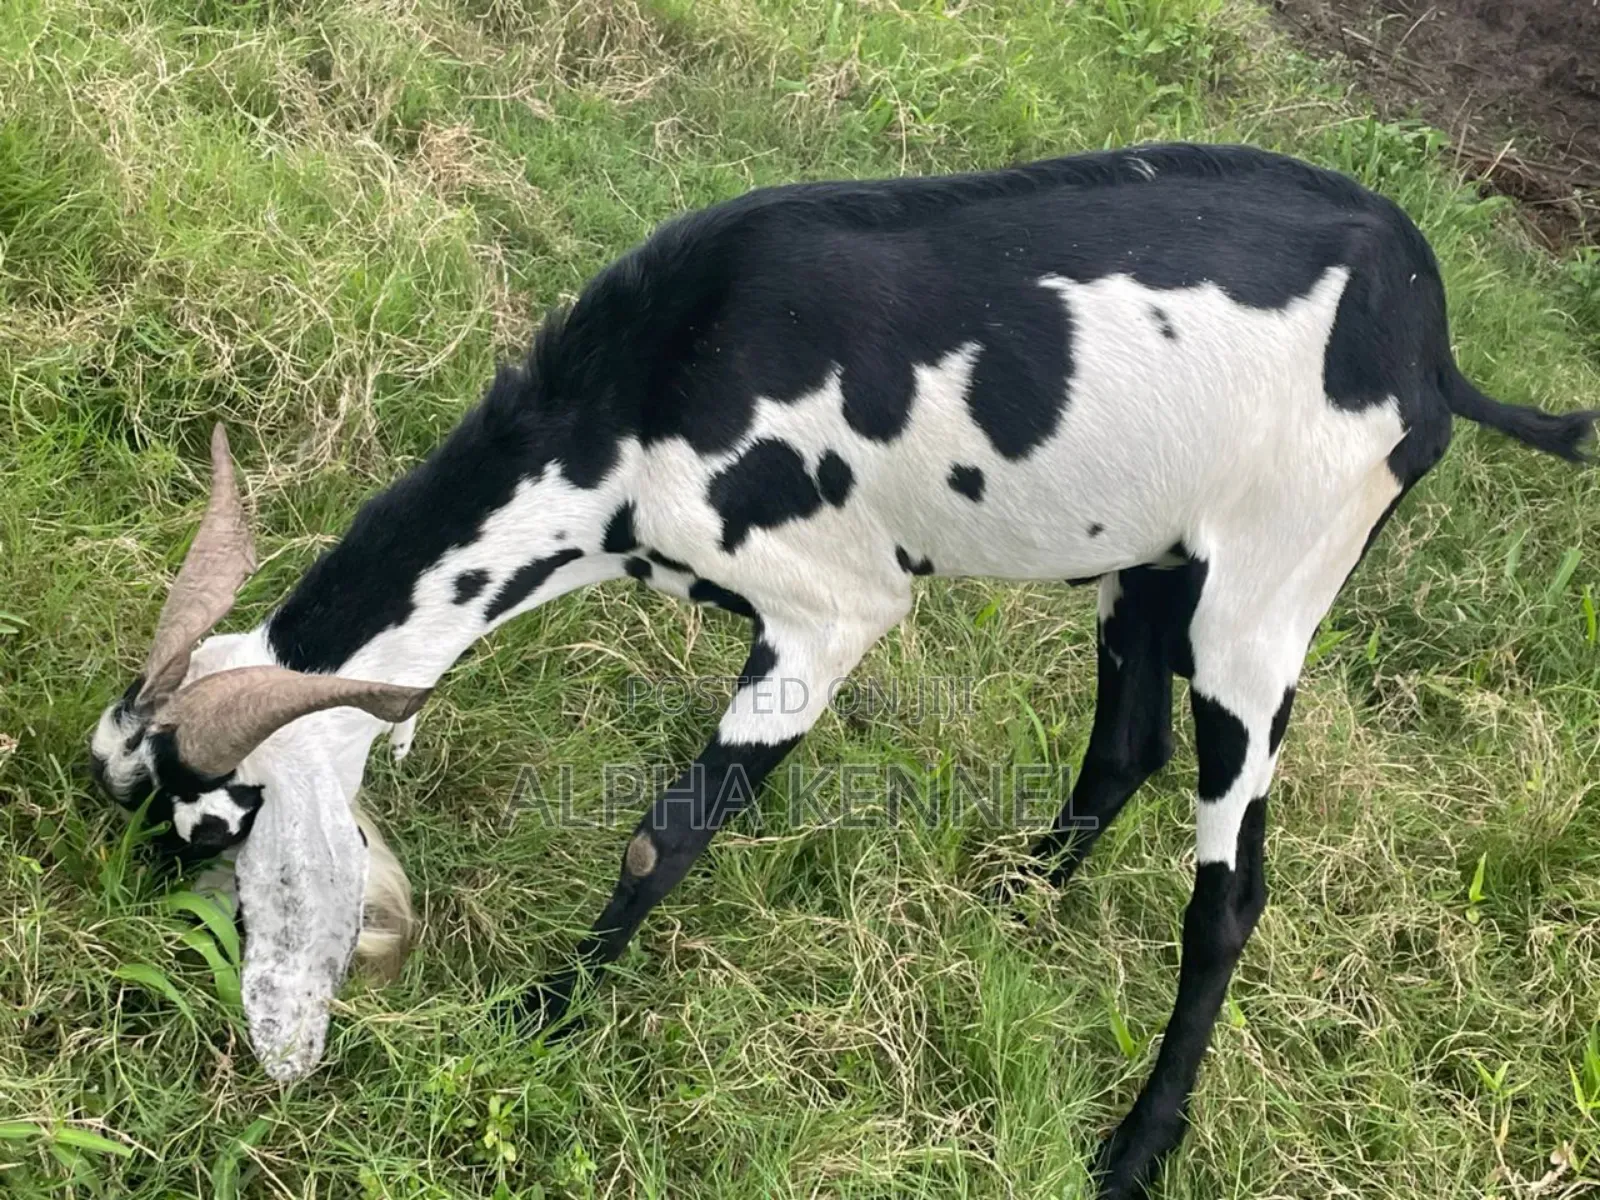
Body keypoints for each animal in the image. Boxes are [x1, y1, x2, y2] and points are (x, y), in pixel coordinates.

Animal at [90, 143, 1595, 1197]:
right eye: (125, 780)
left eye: (213, 822)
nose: (124, 929)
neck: (643, 399)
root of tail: (1431, 340)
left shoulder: (831, 610)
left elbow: (665, 835)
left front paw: (543, 1014)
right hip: (1153, 558)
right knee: (1127, 745)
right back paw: (1018, 897)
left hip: (1271, 593)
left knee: (1229, 888)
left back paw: (1133, 1152)